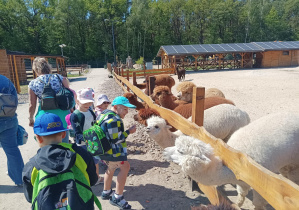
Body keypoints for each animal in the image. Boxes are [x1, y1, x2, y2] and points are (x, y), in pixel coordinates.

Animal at [165, 113, 299, 210]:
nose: (165, 151)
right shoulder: (242, 181)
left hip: (294, 162)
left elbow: (258, 203)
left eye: (181, 151)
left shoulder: (262, 185)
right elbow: (241, 193)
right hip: (287, 162)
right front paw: (236, 205)